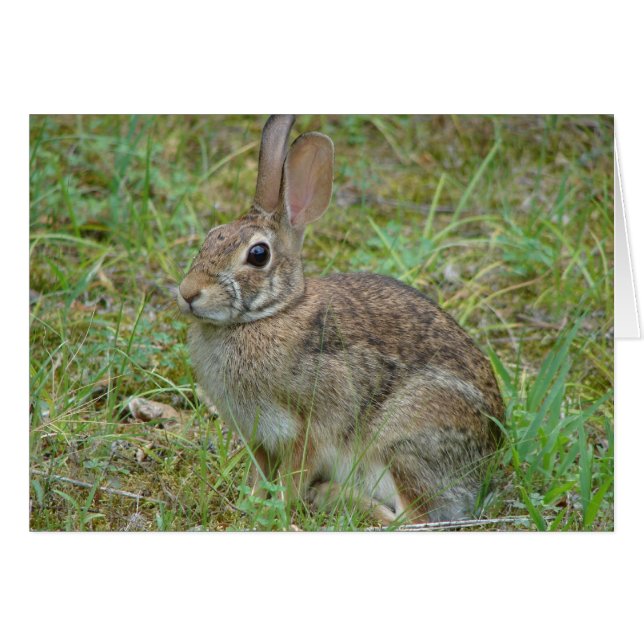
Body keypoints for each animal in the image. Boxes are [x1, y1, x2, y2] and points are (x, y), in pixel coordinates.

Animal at [177, 115, 505, 525]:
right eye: (211, 236)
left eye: (258, 254)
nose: (187, 293)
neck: (272, 313)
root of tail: (486, 468)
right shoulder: (259, 436)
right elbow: (258, 473)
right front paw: (247, 501)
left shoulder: (310, 428)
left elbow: (294, 475)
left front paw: (276, 509)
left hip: (401, 442)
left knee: (410, 520)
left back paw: (331, 496)